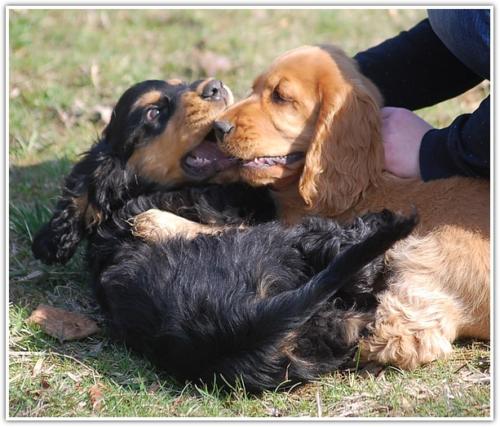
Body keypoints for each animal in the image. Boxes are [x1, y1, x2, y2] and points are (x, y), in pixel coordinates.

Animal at [33, 78, 418, 392]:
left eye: (181, 82)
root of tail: (237, 324)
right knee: (347, 259)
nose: (214, 87)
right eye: (153, 112)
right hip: (284, 243)